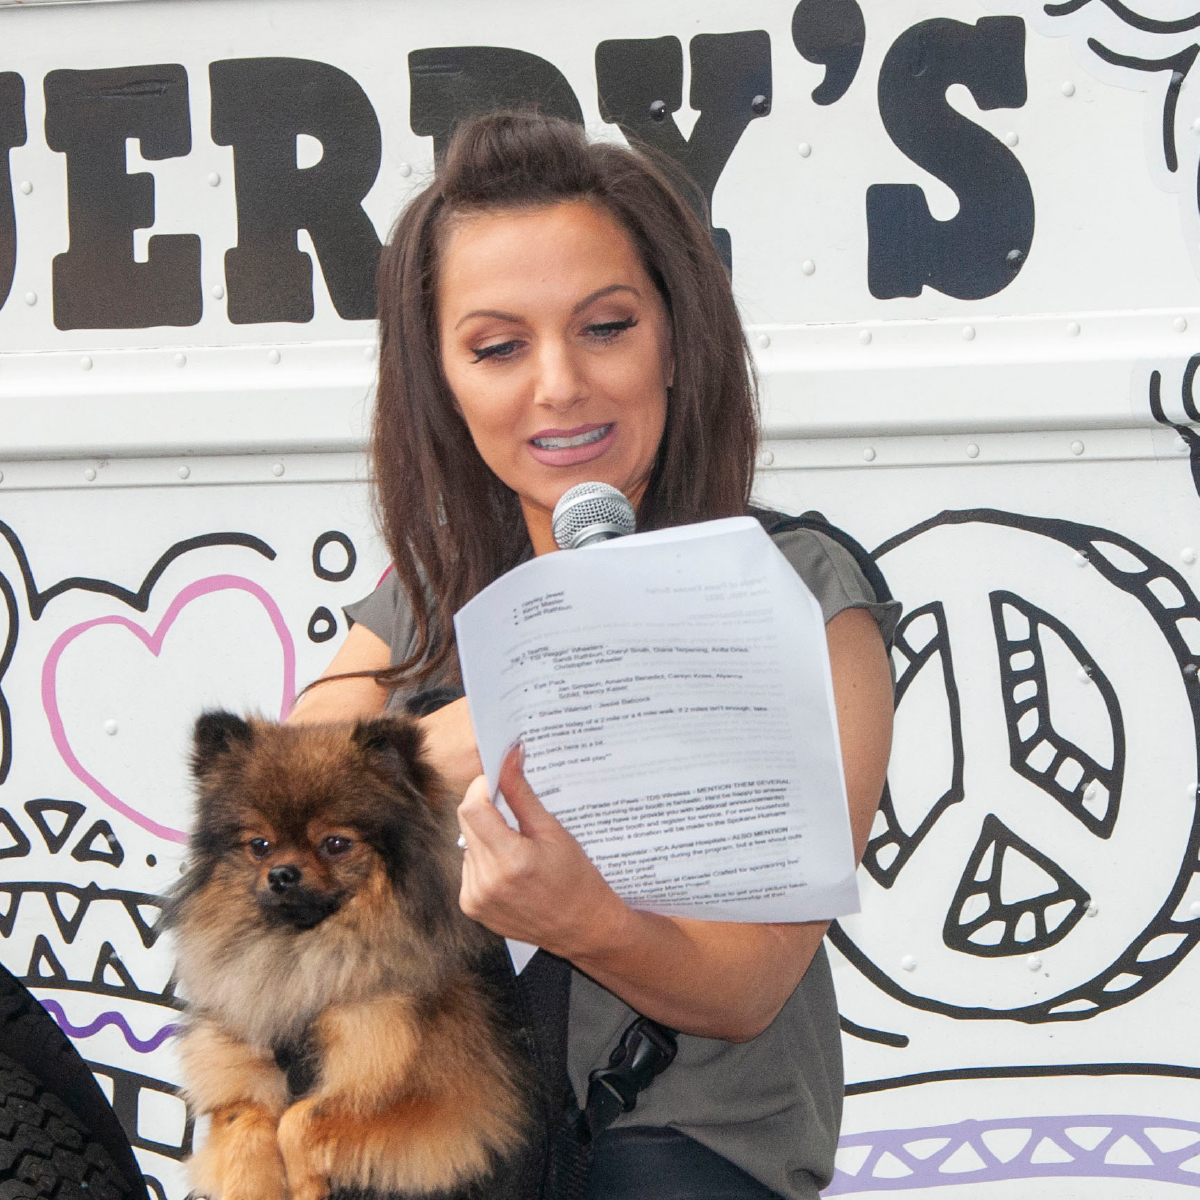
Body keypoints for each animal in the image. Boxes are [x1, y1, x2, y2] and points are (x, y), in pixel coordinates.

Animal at [166, 710, 532, 1200]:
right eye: (260, 846)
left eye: (336, 844)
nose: (281, 874)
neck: (306, 955)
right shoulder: (239, 1066)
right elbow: (247, 1122)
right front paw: (253, 1185)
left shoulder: (430, 1092)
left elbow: (301, 1117)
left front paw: (306, 1182)